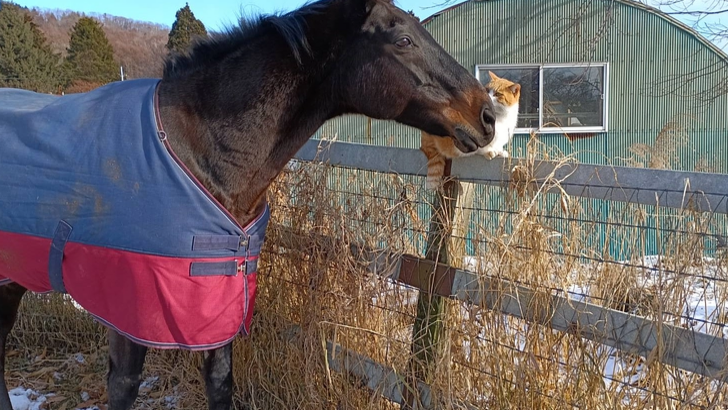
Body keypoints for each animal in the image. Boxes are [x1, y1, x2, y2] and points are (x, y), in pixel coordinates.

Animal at [0, 0, 495, 408]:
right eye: (403, 40)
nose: (487, 116)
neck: (195, 152)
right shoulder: (128, 313)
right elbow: (123, 386)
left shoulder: (217, 303)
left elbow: (220, 382)